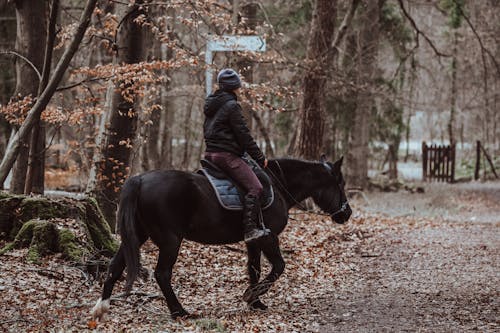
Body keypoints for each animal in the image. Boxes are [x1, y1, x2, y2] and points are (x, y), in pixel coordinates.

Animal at [92, 155, 354, 320]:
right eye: (340, 182)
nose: (347, 213)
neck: (278, 186)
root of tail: (139, 180)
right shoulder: (269, 238)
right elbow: (278, 267)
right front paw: (252, 296)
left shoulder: (253, 240)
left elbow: (254, 268)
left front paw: (255, 302)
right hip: (170, 240)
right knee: (162, 274)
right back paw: (179, 312)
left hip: (138, 235)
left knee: (115, 266)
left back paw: (101, 308)